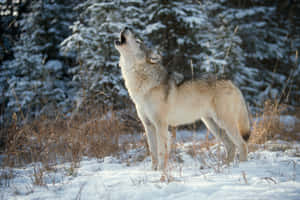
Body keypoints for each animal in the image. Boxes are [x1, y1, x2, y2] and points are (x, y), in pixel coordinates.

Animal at [115, 27, 251, 171]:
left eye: (138, 41)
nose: (126, 27)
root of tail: (232, 82)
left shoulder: (161, 125)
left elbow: (161, 152)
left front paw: (161, 172)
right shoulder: (148, 125)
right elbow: (153, 153)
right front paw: (153, 171)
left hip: (225, 123)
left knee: (242, 144)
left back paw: (242, 167)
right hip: (213, 125)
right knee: (231, 146)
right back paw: (225, 167)